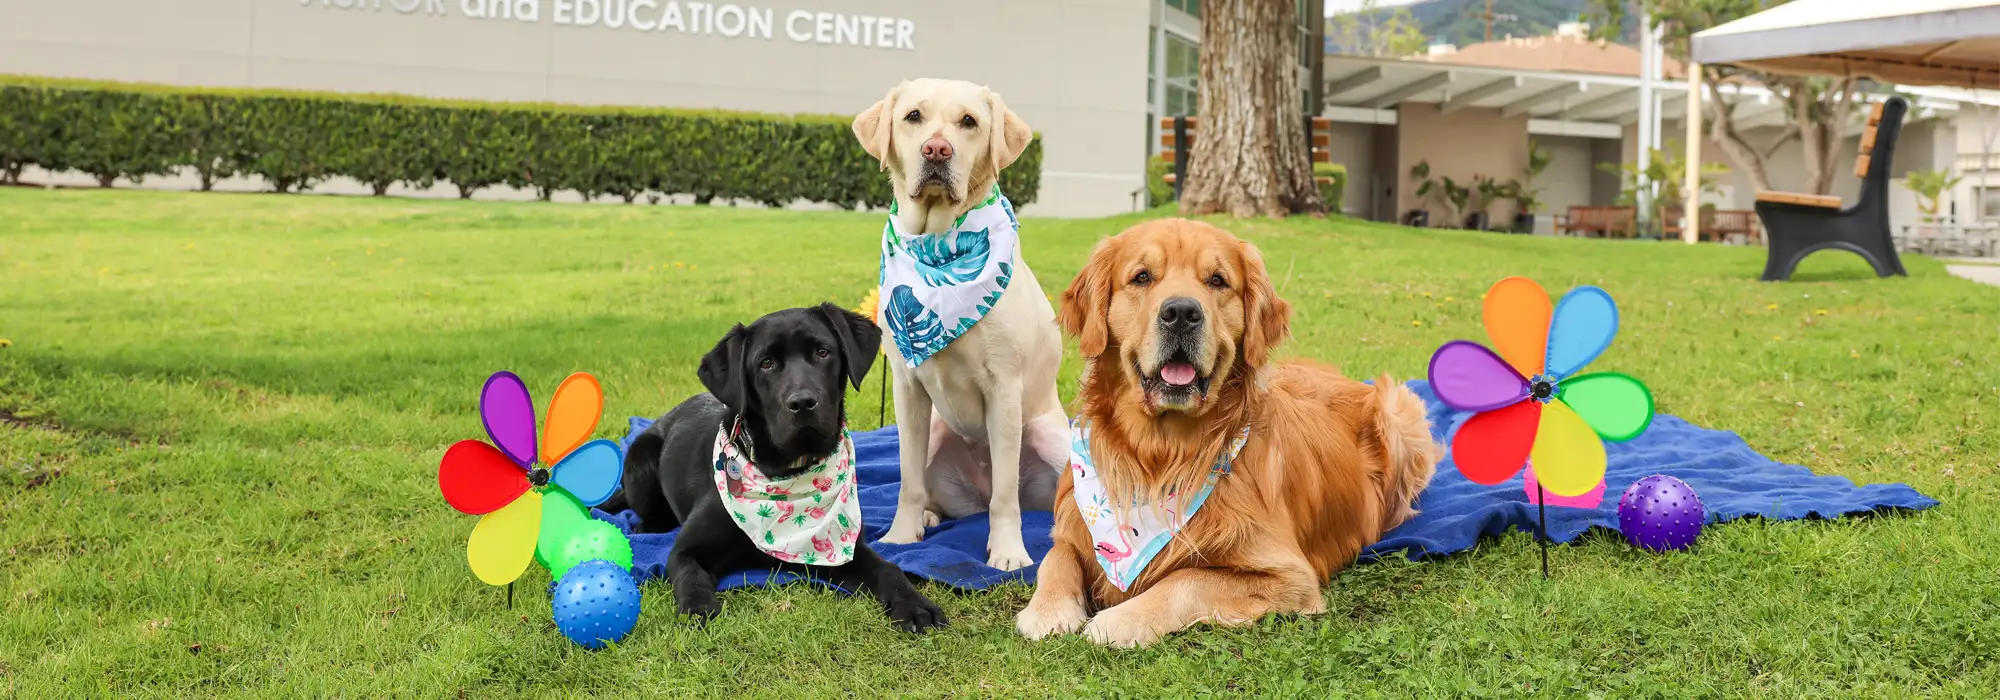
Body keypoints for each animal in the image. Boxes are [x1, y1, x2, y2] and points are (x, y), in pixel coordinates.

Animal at [604, 304, 948, 632]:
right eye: (766, 363)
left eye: (822, 352)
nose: (802, 403)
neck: (788, 473)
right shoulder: (685, 550)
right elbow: (691, 576)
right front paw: (697, 609)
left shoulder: (846, 550)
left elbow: (889, 569)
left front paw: (915, 605)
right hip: (641, 459)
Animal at [852, 79, 1072, 572]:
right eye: (913, 117)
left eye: (969, 121)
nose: (937, 149)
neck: (938, 243)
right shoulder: (907, 387)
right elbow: (907, 479)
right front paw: (901, 535)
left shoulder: (1004, 387)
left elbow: (1005, 496)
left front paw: (1008, 551)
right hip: (937, 430)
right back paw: (930, 516)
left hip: (1050, 436)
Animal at [1016, 220, 1440, 652]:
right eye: (1142, 277)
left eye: (1217, 280)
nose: (1181, 313)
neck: (1161, 455)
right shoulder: (1072, 524)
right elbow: (1056, 558)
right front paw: (1046, 610)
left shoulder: (1289, 576)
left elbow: (1186, 579)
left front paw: (1119, 620)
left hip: (1400, 412)